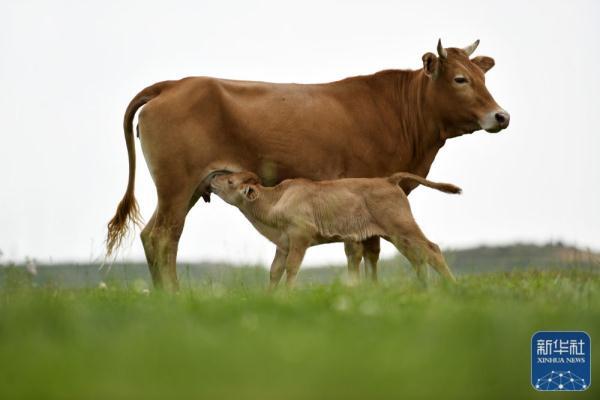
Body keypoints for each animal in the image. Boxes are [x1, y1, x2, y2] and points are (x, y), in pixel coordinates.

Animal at [210, 170, 460, 286]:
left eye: (230, 181)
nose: (213, 178)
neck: (276, 201)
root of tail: (388, 179)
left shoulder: (300, 238)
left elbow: (291, 268)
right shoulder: (283, 244)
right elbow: (274, 271)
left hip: (403, 227)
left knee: (432, 250)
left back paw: (451, 287)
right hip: (396, 235)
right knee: (417, 258)